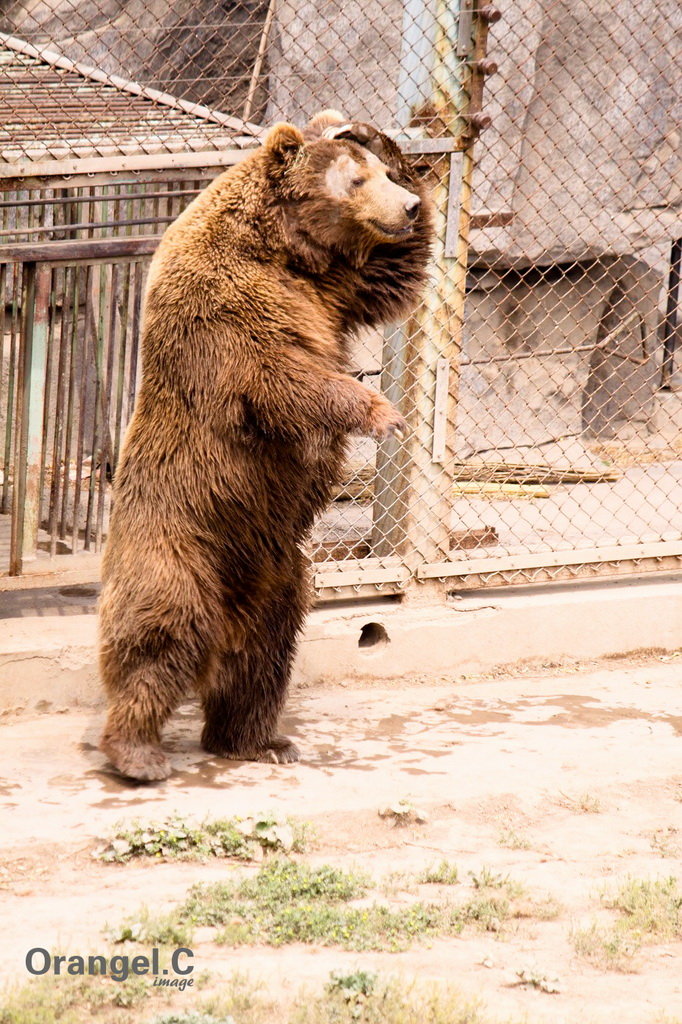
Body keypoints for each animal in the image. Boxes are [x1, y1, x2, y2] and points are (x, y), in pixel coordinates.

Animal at [96, 112, 430, 778]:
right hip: (179, 536)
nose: (405, 207)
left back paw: (258, 740)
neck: (284, 250)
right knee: (159, 630)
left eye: (380, 174)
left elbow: (397, 271)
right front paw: (381, 413)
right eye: (356, 180)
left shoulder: (336, 287)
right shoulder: (228, 309)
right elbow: (280, 376)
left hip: (279, 575)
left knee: (263, 657)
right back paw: (138, 752)